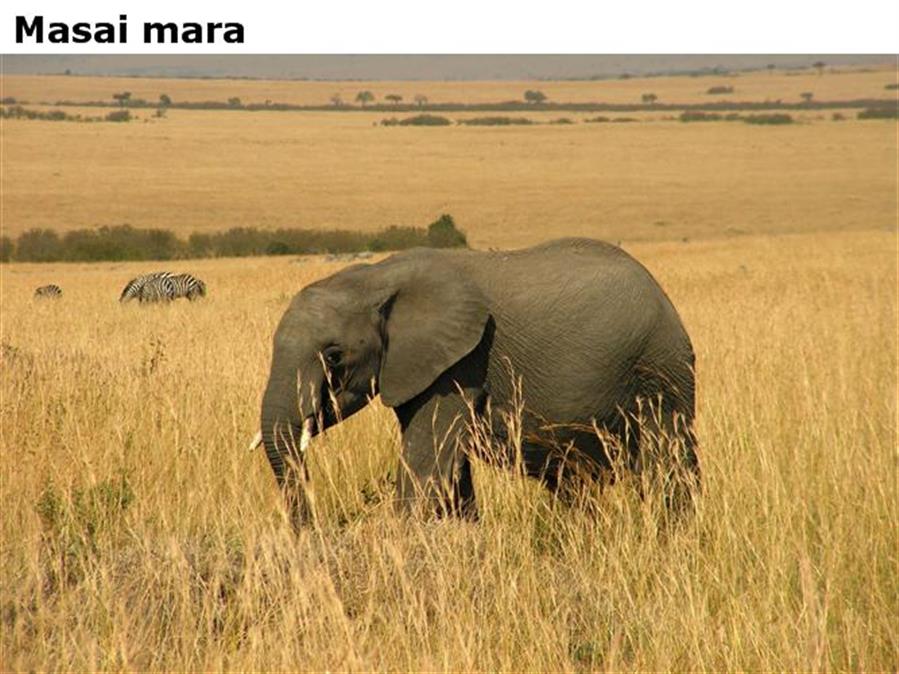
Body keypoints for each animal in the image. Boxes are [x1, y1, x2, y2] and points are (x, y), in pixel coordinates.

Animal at [254, 238, 699, 527]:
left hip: (660, 371)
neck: (375, 277)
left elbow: (427, 457)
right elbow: (448, 464)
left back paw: (675, 537)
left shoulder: (464, 359)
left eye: (333, 356)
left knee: (669, 462)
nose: (311, 528)